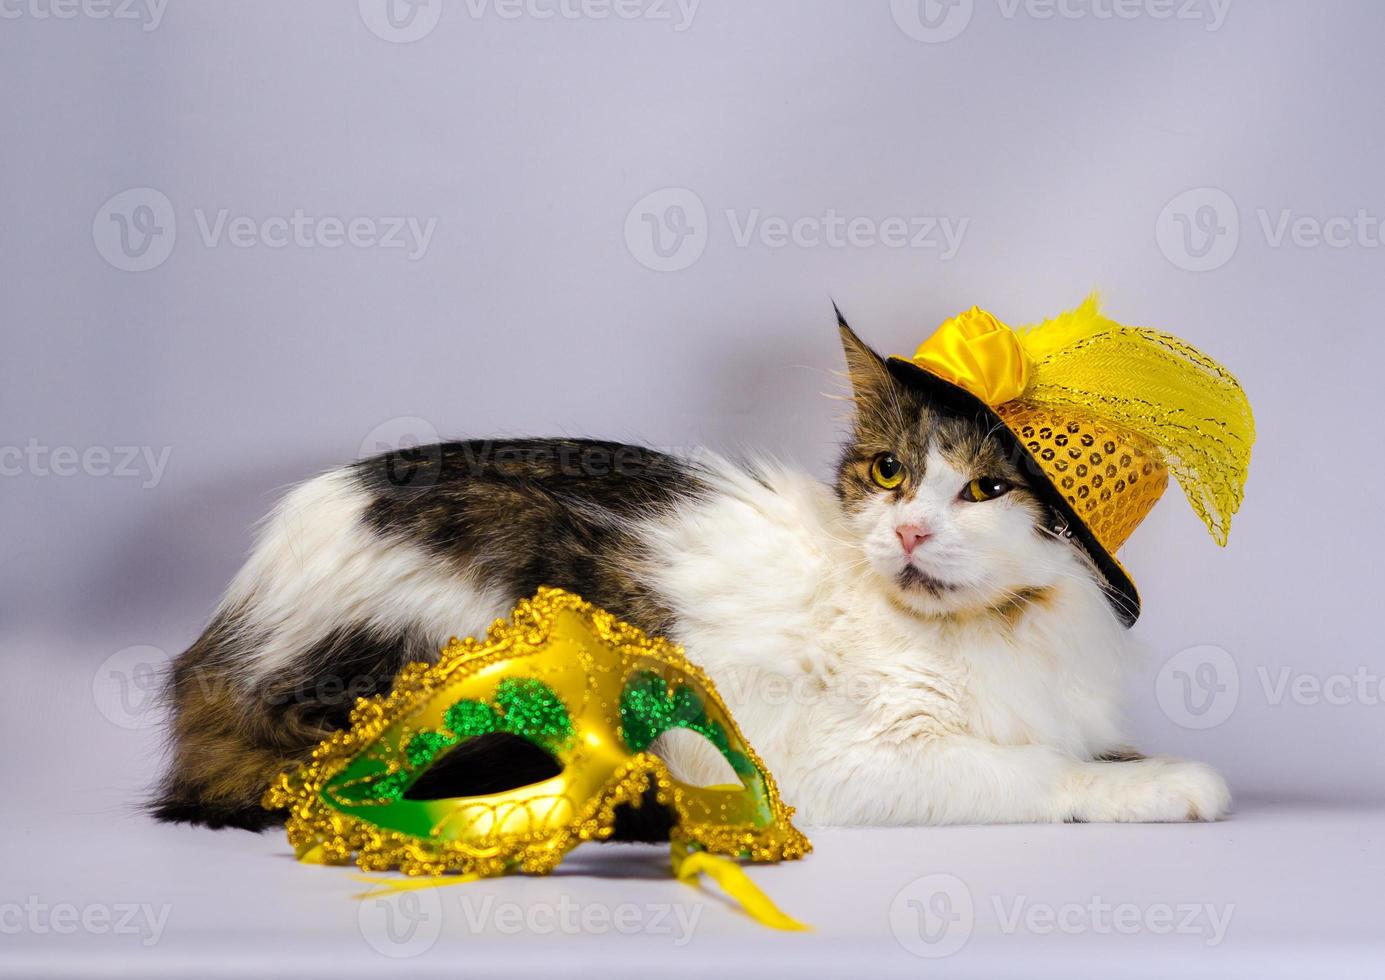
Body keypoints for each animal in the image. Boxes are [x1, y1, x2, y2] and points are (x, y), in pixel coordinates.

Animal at [154, 315, 1235, 836]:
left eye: (987, 487)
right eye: (889, 473)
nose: (909, 532)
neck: (1001, 628)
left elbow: (1089, 746)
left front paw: (1141, 766)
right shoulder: (836, 759)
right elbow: (1037, 769)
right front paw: (1168, 785)